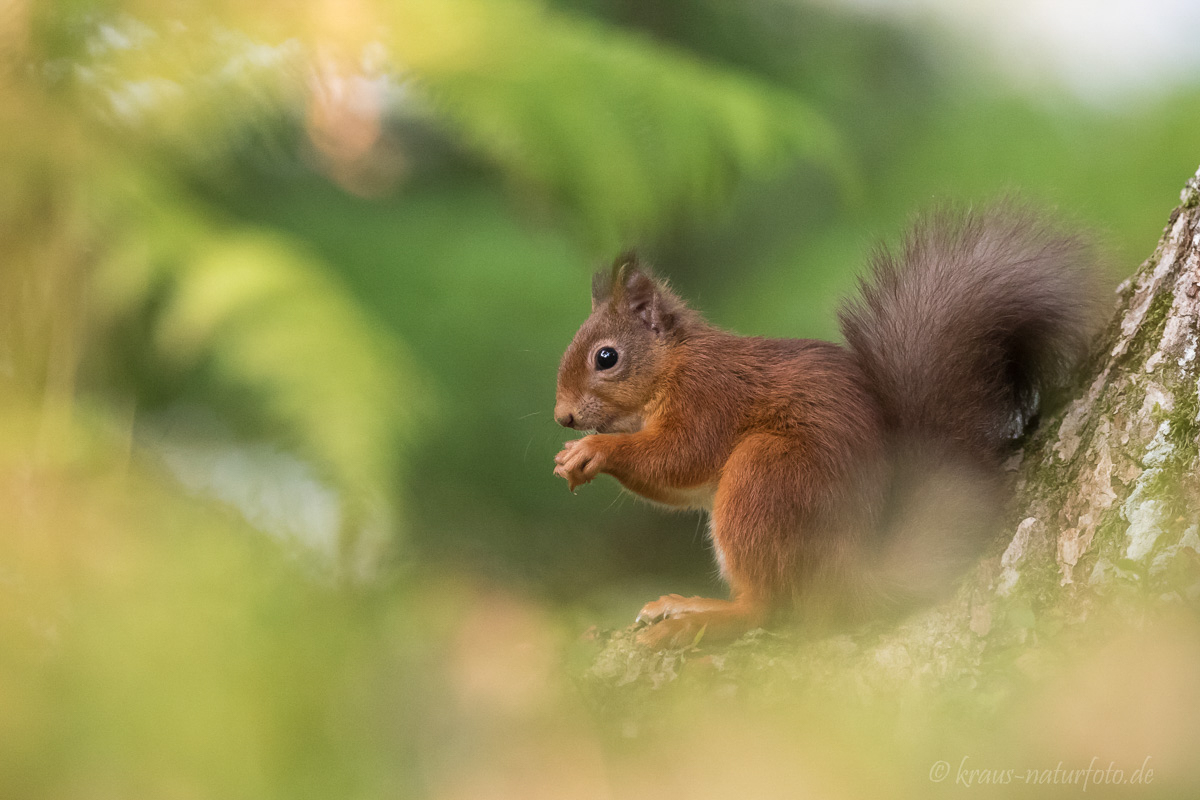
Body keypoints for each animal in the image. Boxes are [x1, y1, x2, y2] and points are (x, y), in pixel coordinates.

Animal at [552, 203, 1099, 647]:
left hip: (764, 477)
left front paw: (597, 450)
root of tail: (845, 574)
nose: (564, 417)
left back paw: (701, 615)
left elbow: (682, 455)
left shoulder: (710, 398)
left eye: (606, 357)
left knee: (766, 607)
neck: (673, 365)